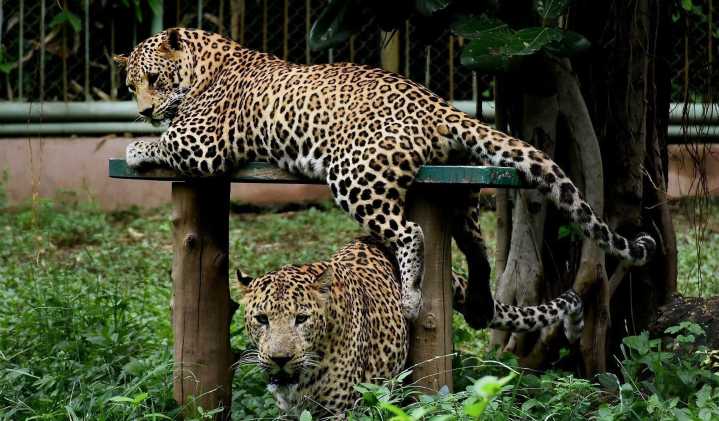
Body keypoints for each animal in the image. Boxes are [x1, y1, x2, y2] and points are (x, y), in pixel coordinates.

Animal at [114, 27, 655, 325]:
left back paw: (413, 295)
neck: (206, 62)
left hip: (355, 175)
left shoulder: (202, 146)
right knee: (474, 243)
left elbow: (165, 141)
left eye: (154, 79)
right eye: (130, 84)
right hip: (458, 189)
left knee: (411, 231)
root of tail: (439, 105)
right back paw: (481, 299)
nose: (142, 111)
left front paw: (136, 145)